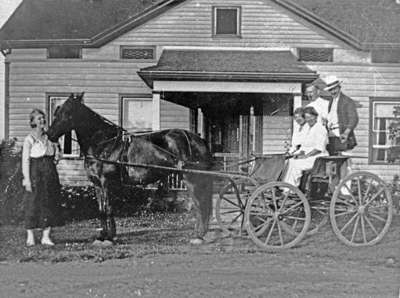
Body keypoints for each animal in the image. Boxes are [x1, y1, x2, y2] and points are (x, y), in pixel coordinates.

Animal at [46, 93, 212, 244]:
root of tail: (197, 139)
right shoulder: (97, 184)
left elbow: (108, 208)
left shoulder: (106, 182)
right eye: (57, 111)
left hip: (191, 179)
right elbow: (101, 210)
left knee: (200, 205)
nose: (49, 134)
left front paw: (110, 237)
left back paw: (198, 236)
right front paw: (102, 236)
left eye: (67, 113)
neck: (103, 143)